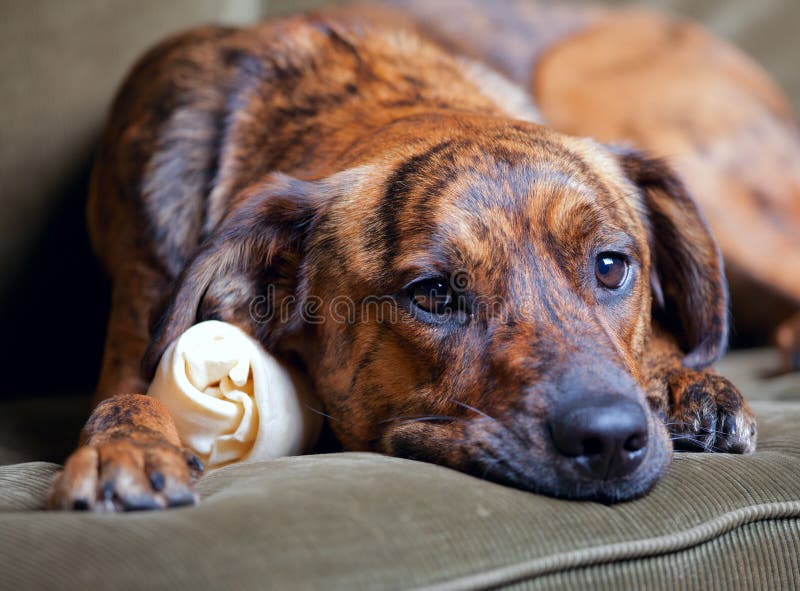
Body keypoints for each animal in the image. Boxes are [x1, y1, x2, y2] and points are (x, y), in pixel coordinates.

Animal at [50, 5, 756, 512]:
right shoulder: (134, 347)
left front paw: (681, 379)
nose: (608, 438)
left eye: (611, 266)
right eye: (434, 293)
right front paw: (128, 444)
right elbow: (126, 400)